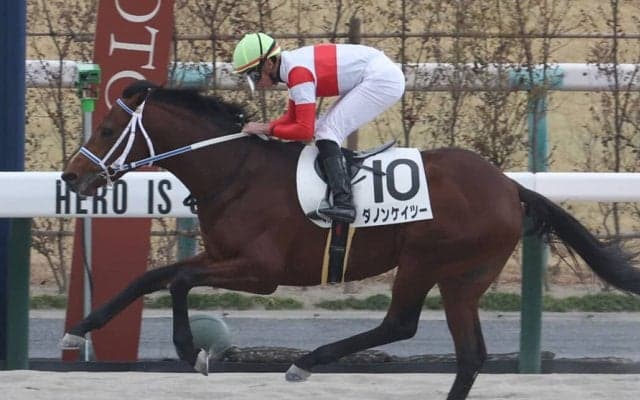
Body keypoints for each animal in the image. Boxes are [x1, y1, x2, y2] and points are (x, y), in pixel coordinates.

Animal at [60, 80, 640, 400]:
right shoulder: (223, 254)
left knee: (405, 326)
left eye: (108, 130)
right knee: (466, 353)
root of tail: (511, 186)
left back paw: (305, 362)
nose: (70, 177)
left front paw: (191, 351)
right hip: (460, 277)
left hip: (432, 262)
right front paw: (80, 327)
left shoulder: (262, 271)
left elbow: (179, 279)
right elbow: (152, 276)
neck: (235, 170)